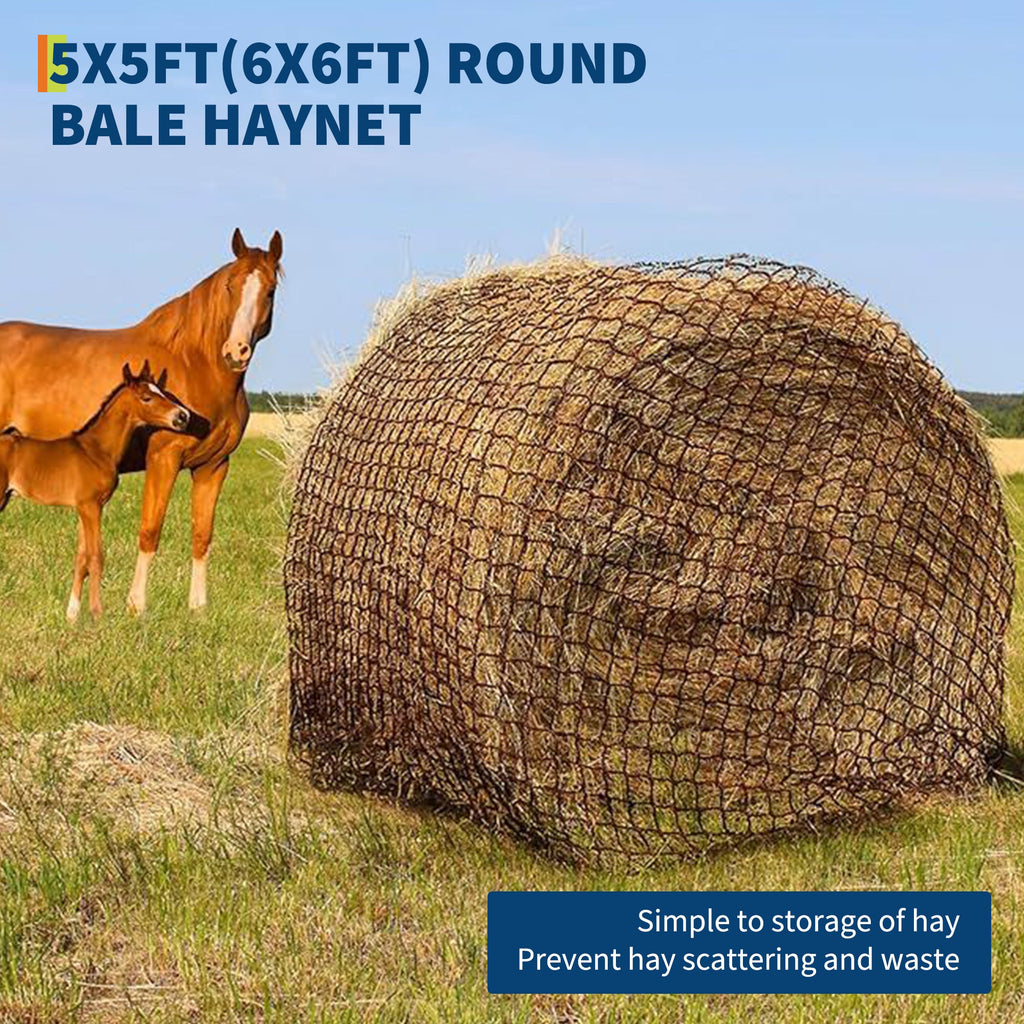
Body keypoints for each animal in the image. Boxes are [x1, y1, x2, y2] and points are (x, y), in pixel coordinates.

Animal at [0, 362, 194, 620]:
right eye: (147, 397)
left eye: (163, 392)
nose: (183, 416)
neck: (97, 449)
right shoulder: (91, 507)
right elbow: (96, 558)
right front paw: (97, 613)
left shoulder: (86, 509)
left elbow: (81, 558)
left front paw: (72, 614)